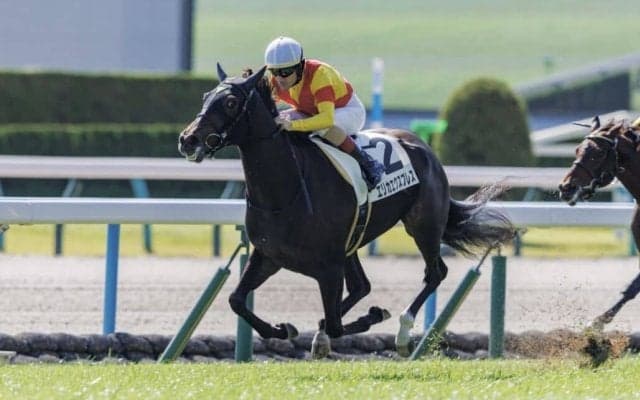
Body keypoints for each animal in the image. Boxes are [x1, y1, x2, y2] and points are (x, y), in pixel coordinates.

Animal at [178, 64, 515, 357]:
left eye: (231, 102)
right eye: (206, 96)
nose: (187, 139)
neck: (286, 189)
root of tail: (424, 148)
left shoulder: (328, 267)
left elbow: (337, 325)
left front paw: (370, 317)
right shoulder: (269, 255)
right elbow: (236, 300)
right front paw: (283, 329)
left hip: (423, 224)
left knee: (434, 273)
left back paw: (402, 333)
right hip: (353, 242)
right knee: (361, 287)